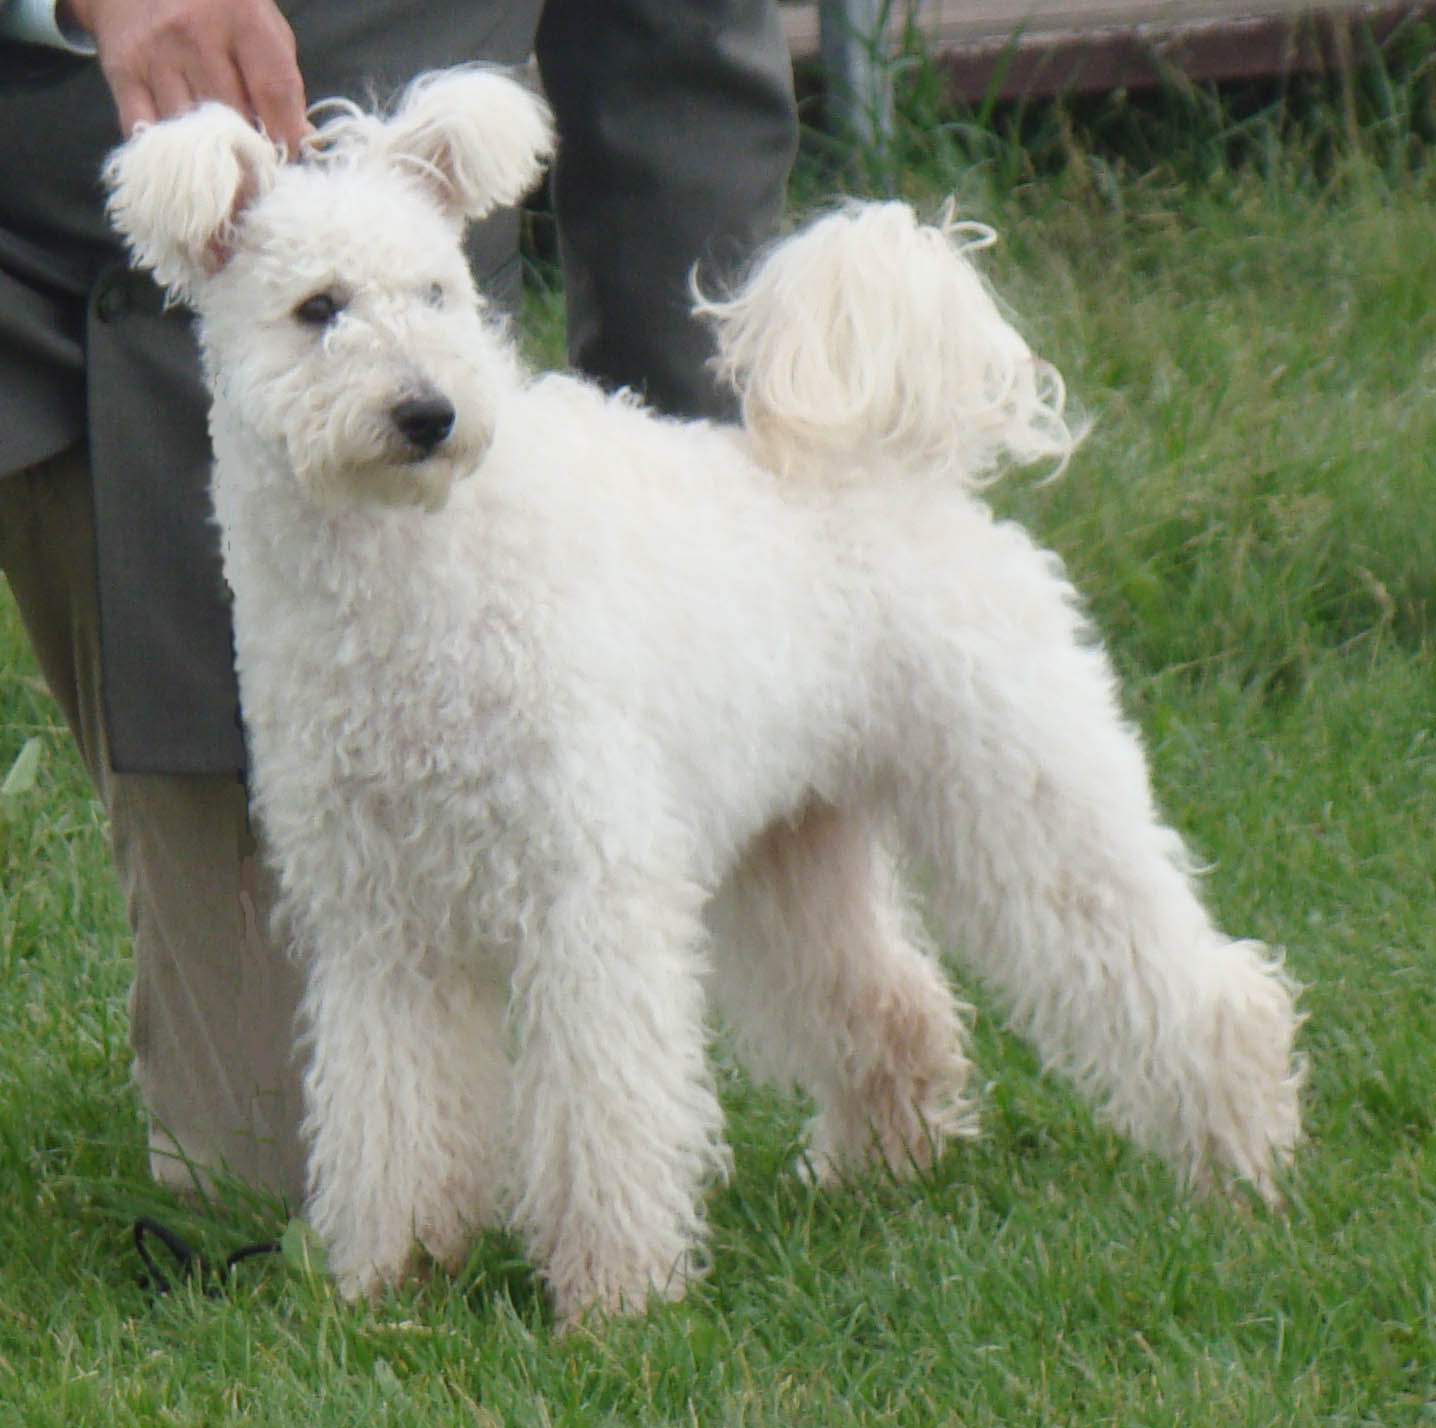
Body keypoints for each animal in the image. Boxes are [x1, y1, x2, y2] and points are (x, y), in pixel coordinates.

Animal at [104, 63, 1303, 1315]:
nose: (429, 414)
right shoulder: (384, 924)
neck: (421, 582)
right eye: (318, 308)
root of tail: (894, 471)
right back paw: (877, 1169)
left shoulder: (588, 887)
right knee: (893, 1007)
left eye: (436, 291)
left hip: (1024, 791)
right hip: (793, 845)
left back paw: (1242, 1170)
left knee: (1189, 982)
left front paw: (611, 1295)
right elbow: (396, 1114)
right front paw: (392, 1283)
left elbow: (604, 1103)